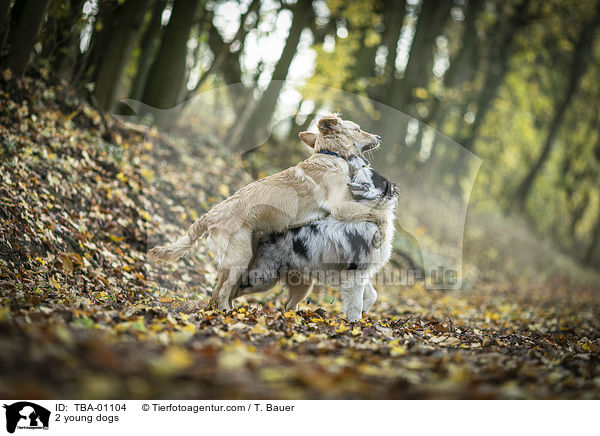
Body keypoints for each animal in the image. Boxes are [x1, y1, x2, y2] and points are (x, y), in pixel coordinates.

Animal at [148, 114, 386, 308]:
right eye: (357, 129)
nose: (379, 136)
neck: (330, 155)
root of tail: (211, 215)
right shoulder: (339, 206)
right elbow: (377, 214)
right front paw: (381, 235)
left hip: (243, 259)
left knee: (221, 291)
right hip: (240, 258)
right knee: (222, 293)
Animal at [236, 155, 398, 322]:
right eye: (365, 167)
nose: (352, 156)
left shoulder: (362, 272)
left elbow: (373, 295)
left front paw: (363, 312)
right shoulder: (355, 271)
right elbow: (356, 303)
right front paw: (355, 323)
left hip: (302, 283)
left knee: (288, 305)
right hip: (263, 277)